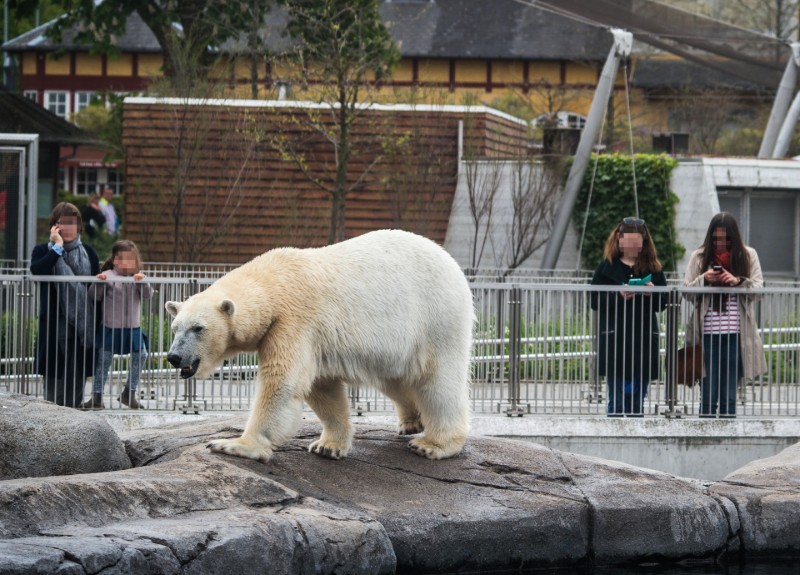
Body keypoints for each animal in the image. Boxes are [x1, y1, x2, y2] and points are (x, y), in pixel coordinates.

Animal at [165, 229, 474, 463]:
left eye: (198, 328)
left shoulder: (293, 321)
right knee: (396, 380)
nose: (173, 357)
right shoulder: (313, 338)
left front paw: (232, 444)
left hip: (435, 319)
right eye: (175, 327)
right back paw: (412, 421)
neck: (273, 282)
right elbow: (321, 388)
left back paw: (433, 444)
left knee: (438, 382)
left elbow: (282, 383)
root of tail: (451, 263)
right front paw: (328, 446)